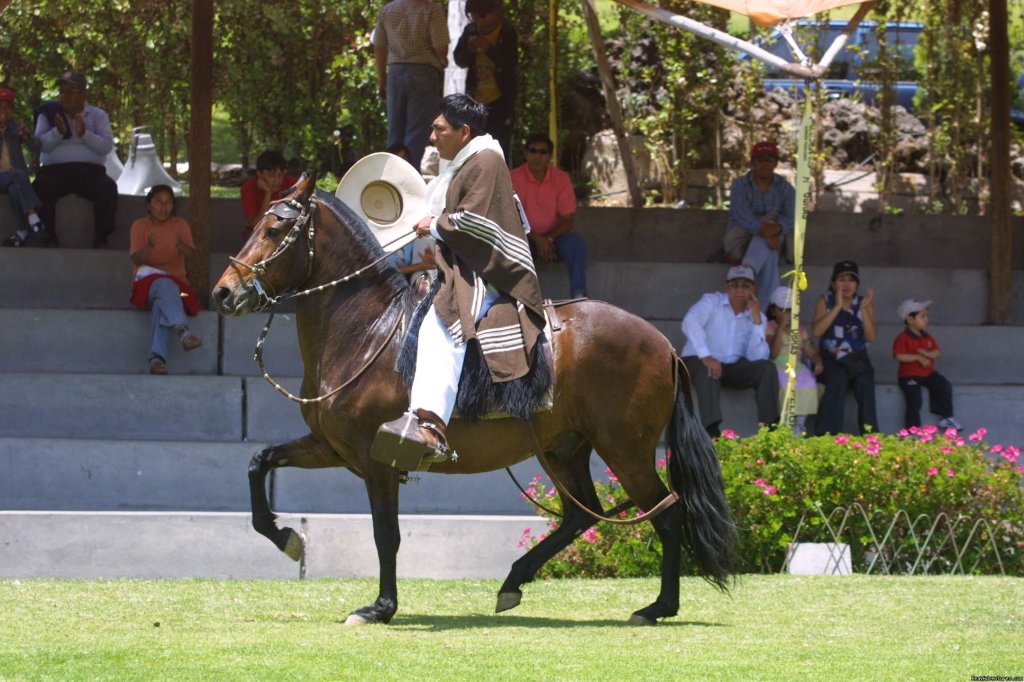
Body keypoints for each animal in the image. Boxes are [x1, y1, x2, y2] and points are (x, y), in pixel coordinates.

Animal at [211, 174, 733, 622]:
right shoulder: (334, 447)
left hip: (625, 449)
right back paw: (514, 581)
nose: (223, 292)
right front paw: (286, 538)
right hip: (564, 449)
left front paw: (379, 608)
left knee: (668, 514)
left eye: (274, 228)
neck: (369, 330)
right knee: (579, 515)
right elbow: (259, 462)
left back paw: (657, 607)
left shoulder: (378, 461)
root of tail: (663, 343)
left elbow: (386, 535)